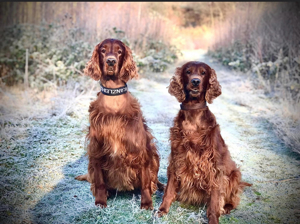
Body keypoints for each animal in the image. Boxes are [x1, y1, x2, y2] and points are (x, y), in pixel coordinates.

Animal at [75, 38, 164, 208]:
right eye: (103, 50)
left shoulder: (140, 151)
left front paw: (146, 204)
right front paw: (100, 202)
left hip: (154, 155)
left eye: (119, 51)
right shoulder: (96, 150)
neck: (114, 99)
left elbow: (145, 183)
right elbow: (100, 182)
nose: (111, 61)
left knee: (153, 179)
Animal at [157, 60, 251, 222]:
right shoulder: (177, 158)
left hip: (234, 175)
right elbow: (169, 189)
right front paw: (162, 209)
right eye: (188, 71)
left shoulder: (214, 166)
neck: (193, 116)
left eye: (203, 73)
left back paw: (226, 207)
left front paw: (213, 218)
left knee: (233, 199)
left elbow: (214, 200)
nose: (195, 81)